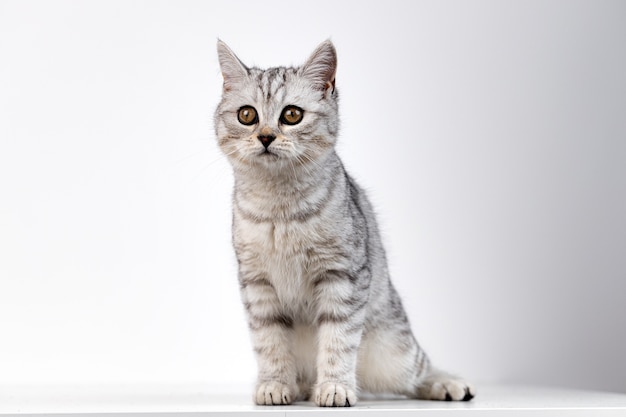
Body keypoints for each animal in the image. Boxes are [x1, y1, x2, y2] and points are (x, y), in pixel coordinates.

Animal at [212, 39, 470, 406]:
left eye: (292, 115)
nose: (265, 136)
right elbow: (270, 343)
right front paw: (274, 384)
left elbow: (338, 340)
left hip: (396, 352)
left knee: (420, 369)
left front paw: (334, 387)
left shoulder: (341, 276)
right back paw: (299, 386)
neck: (280, 206)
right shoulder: (257, 284)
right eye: (247, 115)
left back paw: (448, 384)